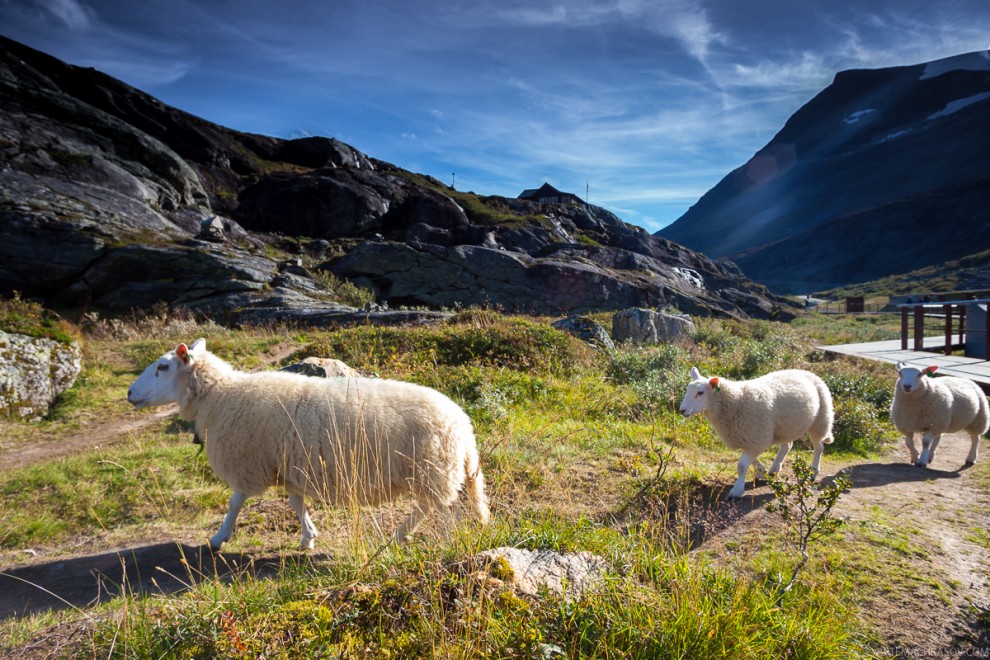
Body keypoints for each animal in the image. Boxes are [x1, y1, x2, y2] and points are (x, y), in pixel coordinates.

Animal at [128, 338, 492, 548]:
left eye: (163, 367)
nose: (129, 393)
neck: (221, 396)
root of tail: (463, 424)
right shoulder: (289, 464)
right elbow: (296, 502)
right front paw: (308, 536)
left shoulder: (250, 462)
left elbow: (235, 502)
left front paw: (219, 537)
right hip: (435, 470)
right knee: (433, 505)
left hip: (432, 469)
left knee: (435, 507)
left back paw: (413, 536)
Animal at [680, 366, 832, 500]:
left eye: (700, 393)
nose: (682, 410)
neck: (736, 401)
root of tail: (806, 371)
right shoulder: (748, 437)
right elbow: (750, 460)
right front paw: (761, 473)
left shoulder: (757, 437)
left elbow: (741, 466)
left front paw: (737, 490)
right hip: (786, 426)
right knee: (787, 445)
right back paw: (775, 468)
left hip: (820, 420)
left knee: (818, 447)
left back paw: (813, 471)